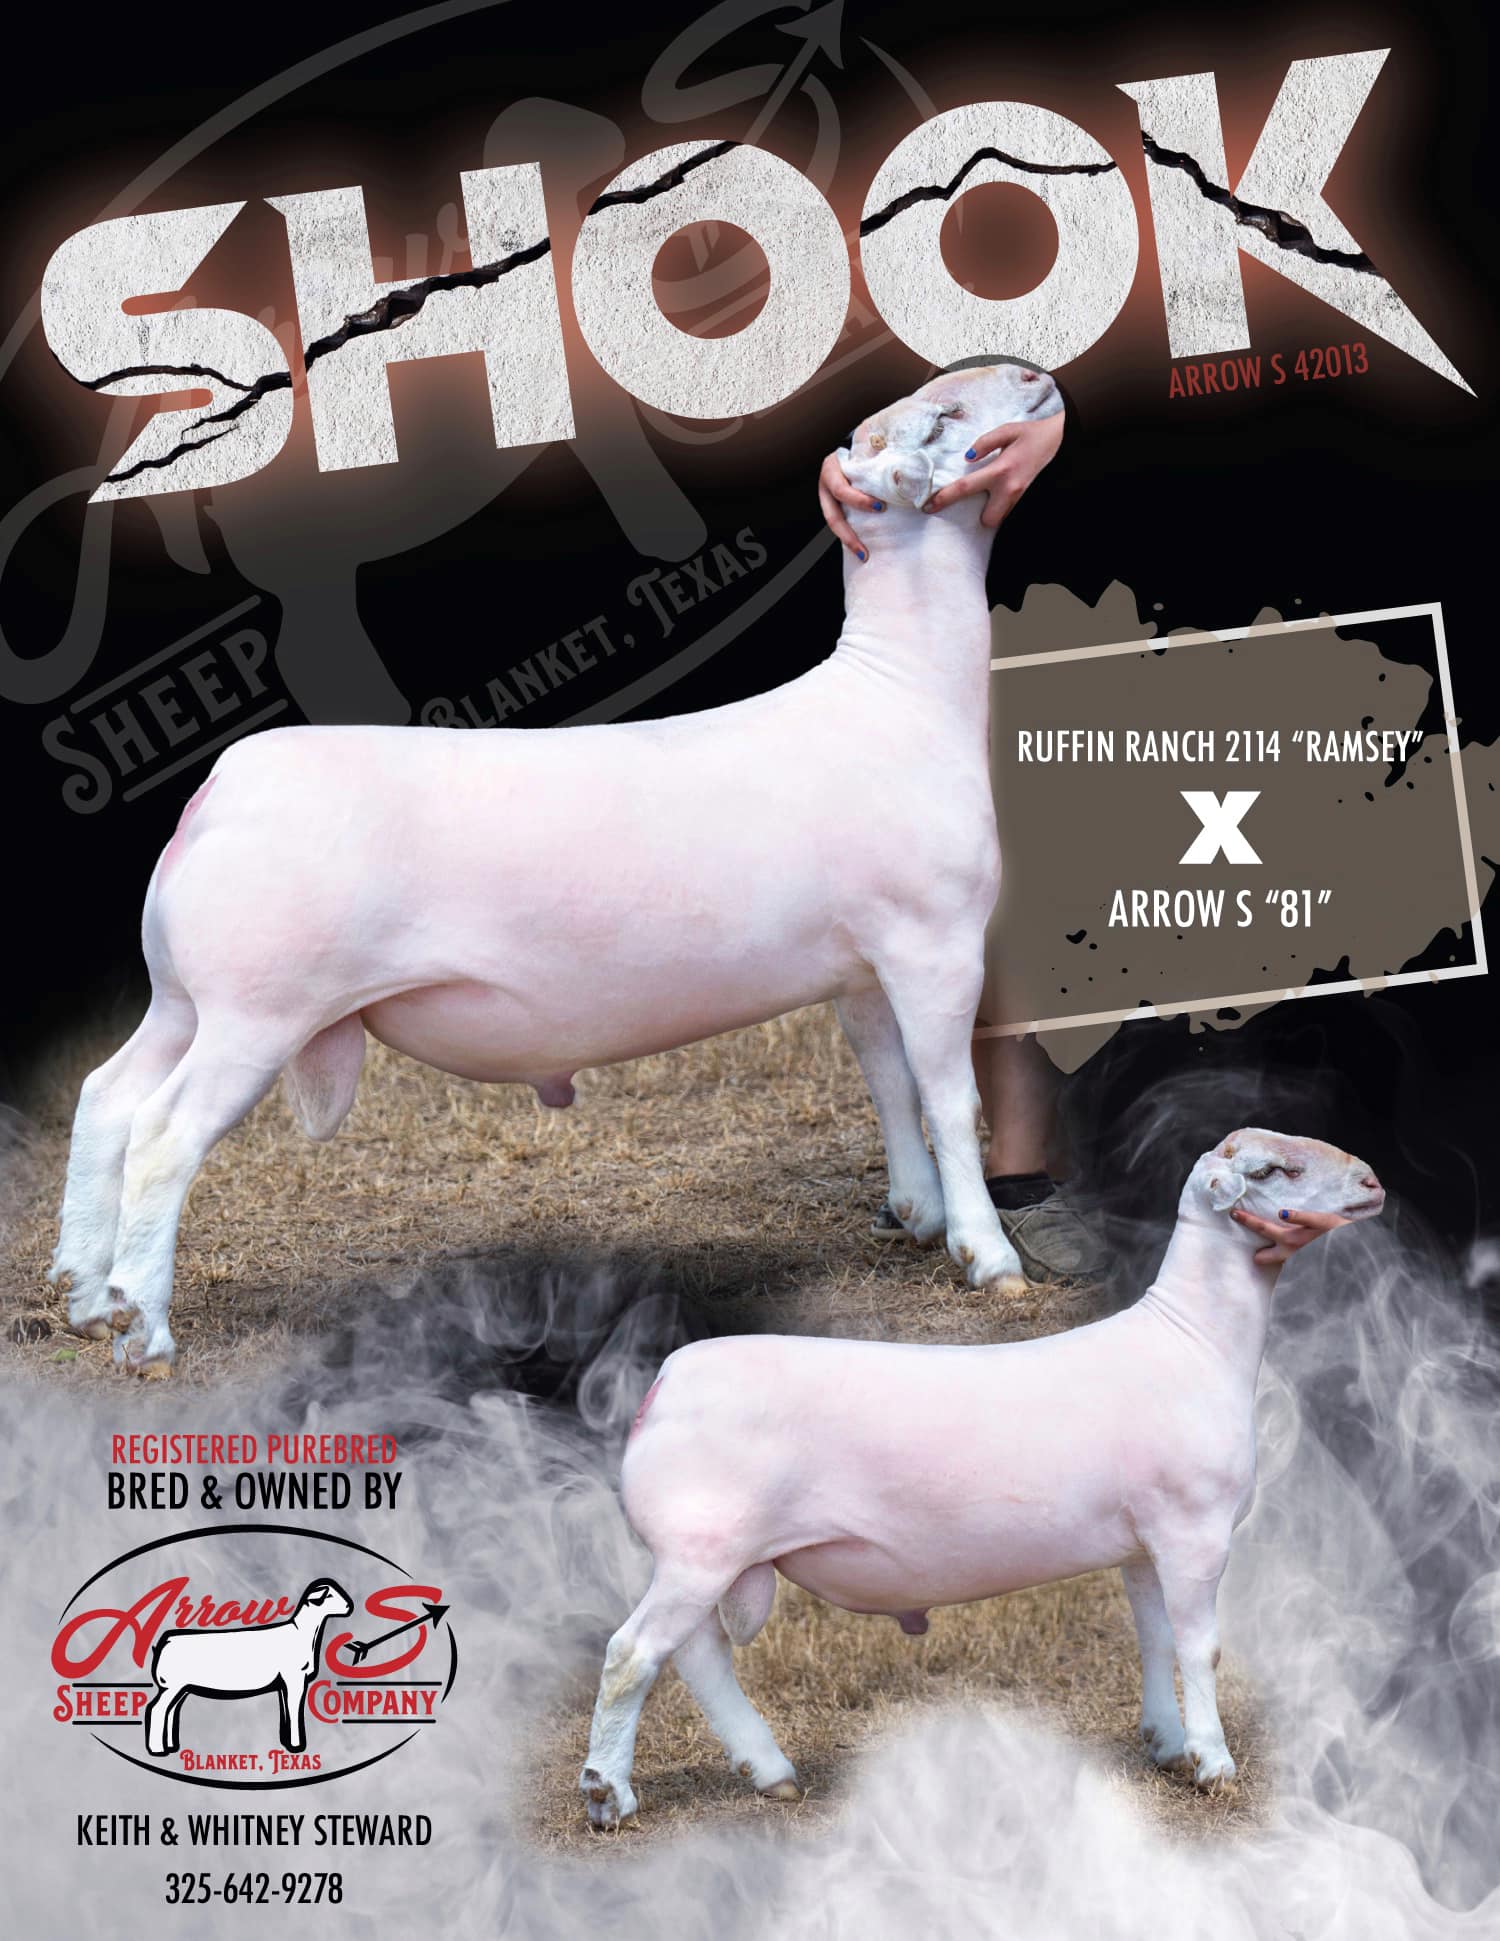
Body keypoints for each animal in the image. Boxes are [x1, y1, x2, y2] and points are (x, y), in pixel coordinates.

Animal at [50, 361, 1061, 1373]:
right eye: (944, 415)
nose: (1034, 373)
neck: (896, 689)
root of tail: (223, 785)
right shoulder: (936, 942)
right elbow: (949, 1093)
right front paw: (988, 1255)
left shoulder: (861, 963)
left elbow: (889, 1081)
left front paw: (918, 1212)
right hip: (256, 1010)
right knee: (162, 1133)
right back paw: (143, 1327)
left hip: (188, 997)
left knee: (107, 1097)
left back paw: (87, 1296)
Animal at [144, 1578, 353, 1757]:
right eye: (329, 1595)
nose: (349, 1606)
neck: (301, 1633)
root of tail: (164, 1642)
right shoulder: (294, 1677)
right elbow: (294, 1710)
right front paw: (296, 1745)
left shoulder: (283, 1683)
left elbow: (286, 1710)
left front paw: (287, 1742)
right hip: (171, 1685)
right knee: (157, 1709)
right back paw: (157, 1749)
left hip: (181, 1688)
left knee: (171, 1711)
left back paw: (171, 1746)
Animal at [576, 1129, 1386, 1827]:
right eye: (1274, 1170)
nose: (1374, 1181)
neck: (1191, 1339)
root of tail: (663, 1384)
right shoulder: (1195, 1531)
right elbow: (1201, 1649)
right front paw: (1214, 1765)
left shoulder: (1144, 1542)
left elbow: (1154, 1641)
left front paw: (1165, 1743)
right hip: (701, 1549)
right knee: (632, 1656)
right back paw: (607, 1793)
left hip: (704, 1555)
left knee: (696, 1656)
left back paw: (768, 1770)